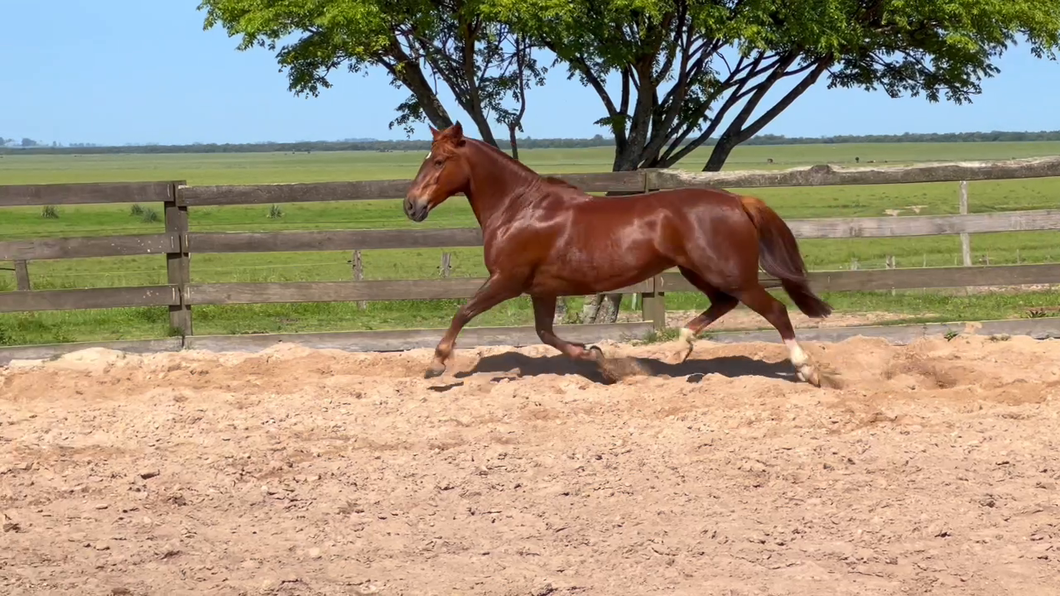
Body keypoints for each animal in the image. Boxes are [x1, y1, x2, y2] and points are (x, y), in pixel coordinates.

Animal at [400, 123, 831, 388]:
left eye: (439, 161)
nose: (410, 206)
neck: (520, 209)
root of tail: (737, 200)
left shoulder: (507, 279)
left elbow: (464, 312)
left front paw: (436, 363)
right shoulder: (542, 289)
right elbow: (546, 333)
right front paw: (600, 360)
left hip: (730, 274)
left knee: (775, 310)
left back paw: (806, 370)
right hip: (698, 271)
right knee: (723, 304)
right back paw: (681, 347)